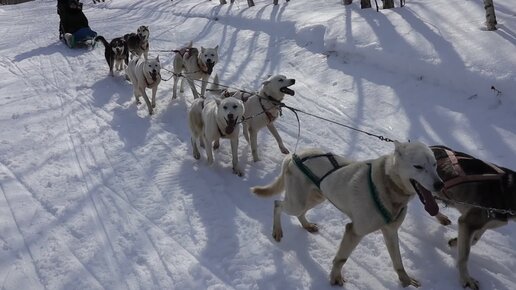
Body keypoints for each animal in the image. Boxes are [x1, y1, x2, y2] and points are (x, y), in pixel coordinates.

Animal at [252, 142, 446, 286]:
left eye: (434, 164)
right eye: (418, 166)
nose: (440, 184)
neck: (387, 186)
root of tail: (295, 155)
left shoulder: (391, 232)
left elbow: (398, 261)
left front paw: (405, 280)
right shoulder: (354, 231)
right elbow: (341, 259)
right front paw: (335, 277)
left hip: (316, 198)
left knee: (301, 213)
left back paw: (307, 225)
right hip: (297, 203)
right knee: (277, 204)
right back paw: (277, 231)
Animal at [424, 146, 516, 288]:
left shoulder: (481, 223)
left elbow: (474, 240)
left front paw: (455, 241)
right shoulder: (469, 222)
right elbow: (464, 256)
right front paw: (466, 278)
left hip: (439, 196)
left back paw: (442, 218)